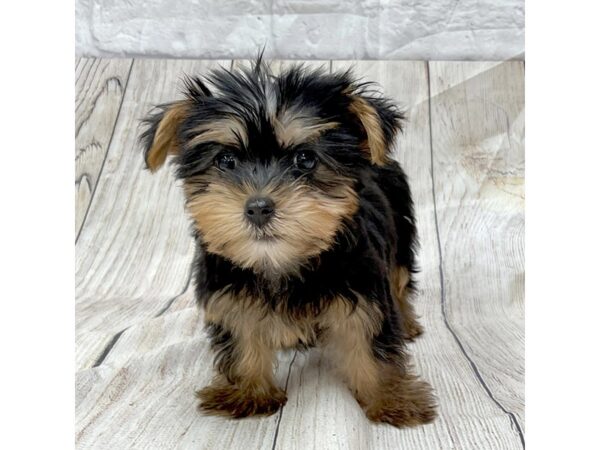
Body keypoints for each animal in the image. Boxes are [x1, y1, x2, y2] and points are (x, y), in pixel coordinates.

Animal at [139, 60, 436, 428]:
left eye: (305, 159)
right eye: (225, 161)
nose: (258, 207)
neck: (279, 261)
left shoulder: (363, 290)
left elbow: (370, 341)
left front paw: (392, 399)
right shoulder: (229, 293)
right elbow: (242, 334)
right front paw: (247, 392)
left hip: (401, 230)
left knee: (400, 278)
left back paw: (407, 322)